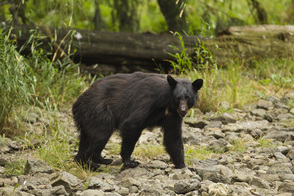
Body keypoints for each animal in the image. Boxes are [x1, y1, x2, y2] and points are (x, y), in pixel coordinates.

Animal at [73, 72, 205, 170]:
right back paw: (99, 160)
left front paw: (182, 165)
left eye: (188, 98)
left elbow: (173, 137)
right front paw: (130, 162)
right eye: (178, 98)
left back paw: (83, 162)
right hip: (98, 111)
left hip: (87, 118)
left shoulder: (172, 115)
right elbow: (131, 124)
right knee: (101, 134)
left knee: (86, 139)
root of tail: (77, 102)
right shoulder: (147, 101)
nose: (183, 111)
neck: (167, 102)